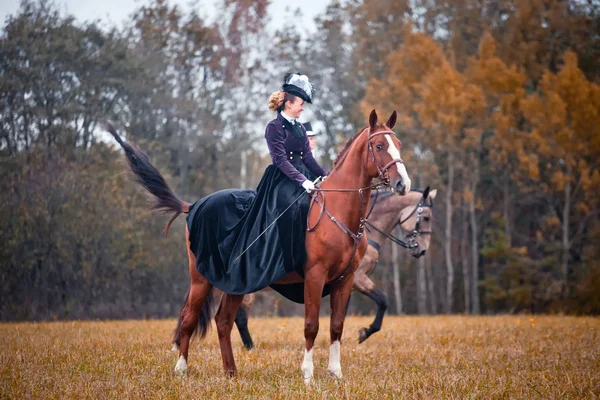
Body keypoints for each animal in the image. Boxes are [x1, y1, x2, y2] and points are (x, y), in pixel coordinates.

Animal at [105, 110, 410, 384]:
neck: (336, 211)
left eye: (399, 144)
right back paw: (181, 370)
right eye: (379, 146)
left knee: (223, 321)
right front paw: (308, 375)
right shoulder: (315, 276)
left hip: (235, 285)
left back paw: (231, 373)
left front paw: (336, 374)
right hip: (201, 279)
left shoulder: (345, 280)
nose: (402, 184)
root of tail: (194, 206)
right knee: (189, 319)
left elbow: (337, 326)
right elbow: (311, 325)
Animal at [231, 188, 436, 350]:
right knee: (240, 317)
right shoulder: (359, 278)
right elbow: (382, 300)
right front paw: (365, 332)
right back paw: (250, 347)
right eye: (426, 217)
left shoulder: (347, 282)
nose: (422, 250)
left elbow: (341, 312)